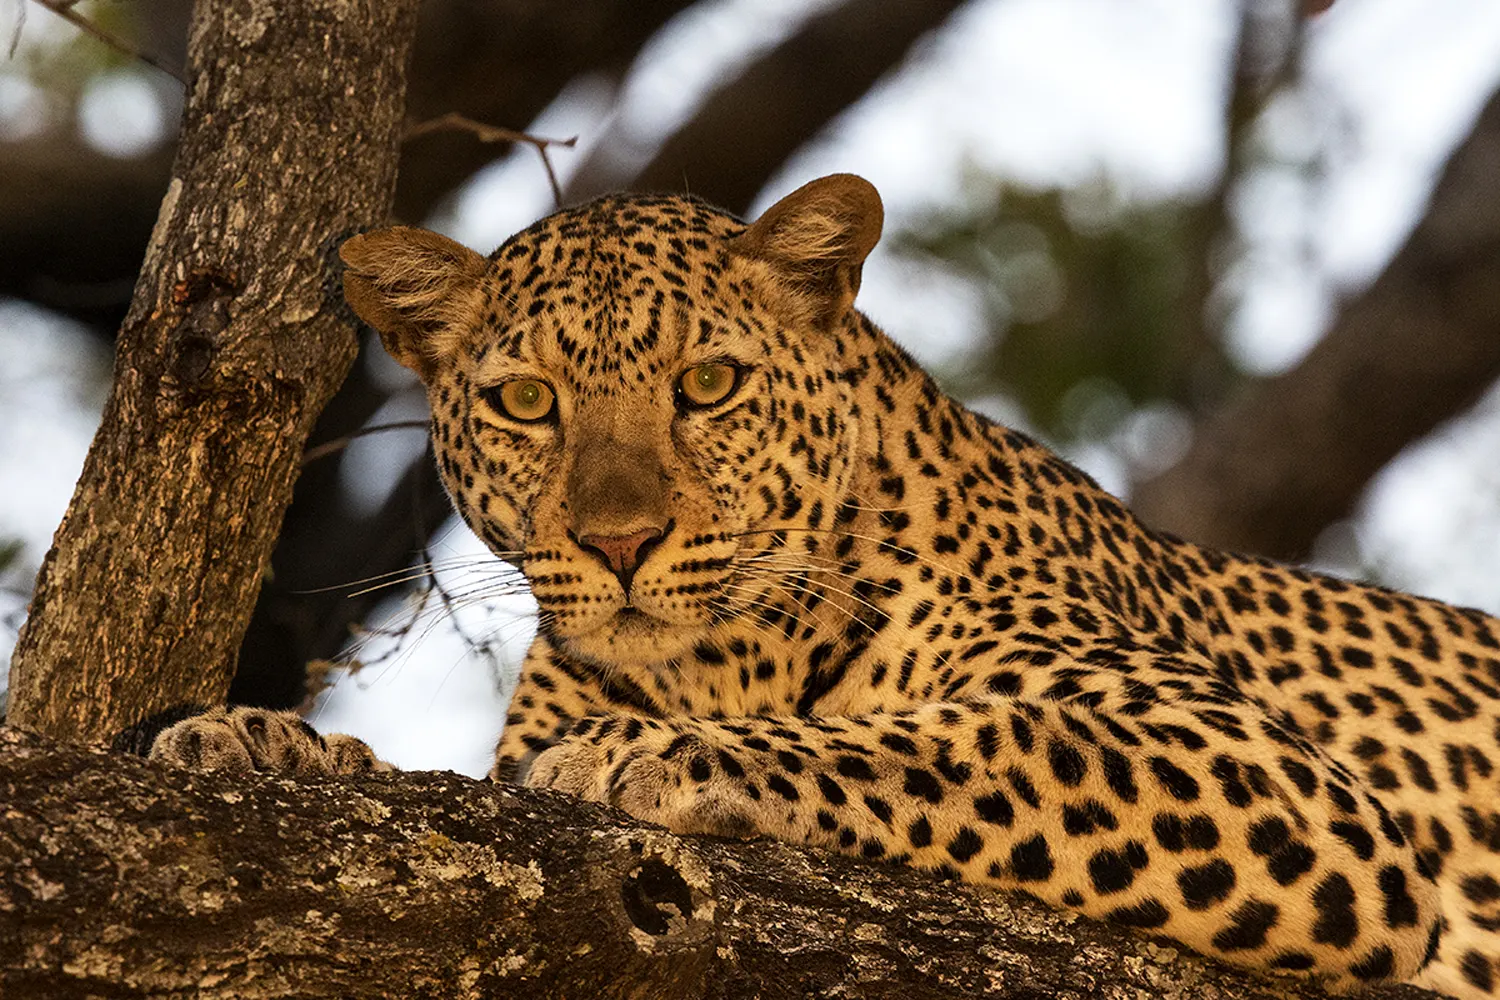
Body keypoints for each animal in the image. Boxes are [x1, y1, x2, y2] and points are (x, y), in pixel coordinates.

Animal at [132, 176, 1500, 995]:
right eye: (527, 401)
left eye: (708, 384)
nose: (620, 541)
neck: (719, 658)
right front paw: (255, 741)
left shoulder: (1282, 775)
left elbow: (981, 738)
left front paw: (648, 755)